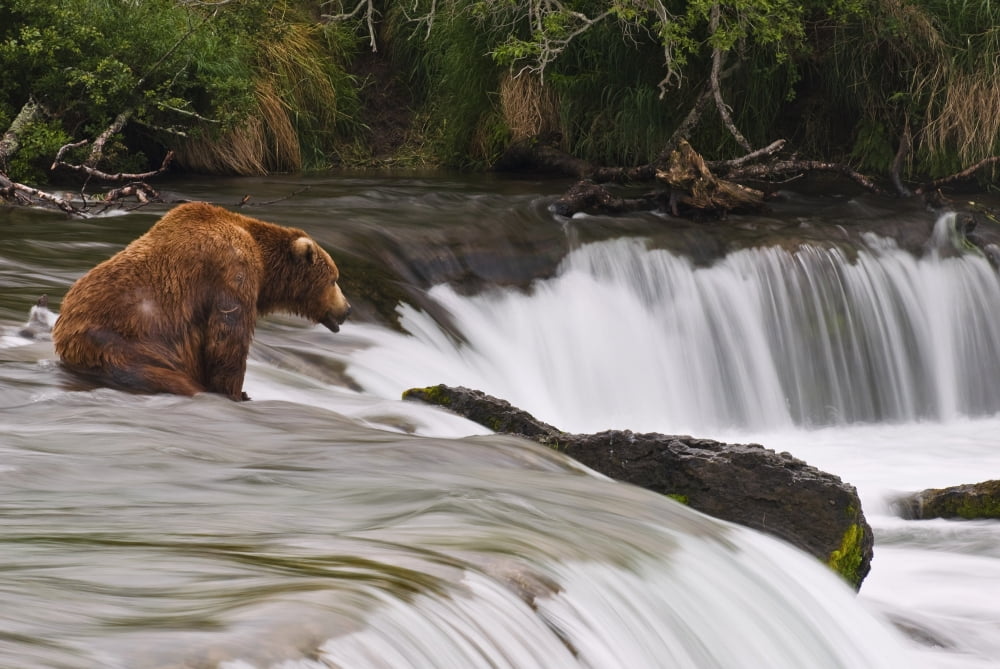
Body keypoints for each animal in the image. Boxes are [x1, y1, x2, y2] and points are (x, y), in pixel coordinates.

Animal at [52, 201, 351, 400]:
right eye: (334, 279)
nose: (347, 309)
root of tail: (62, 326)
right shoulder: (233, 270)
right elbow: (227, 338)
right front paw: (236, 392)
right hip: (124, 345)